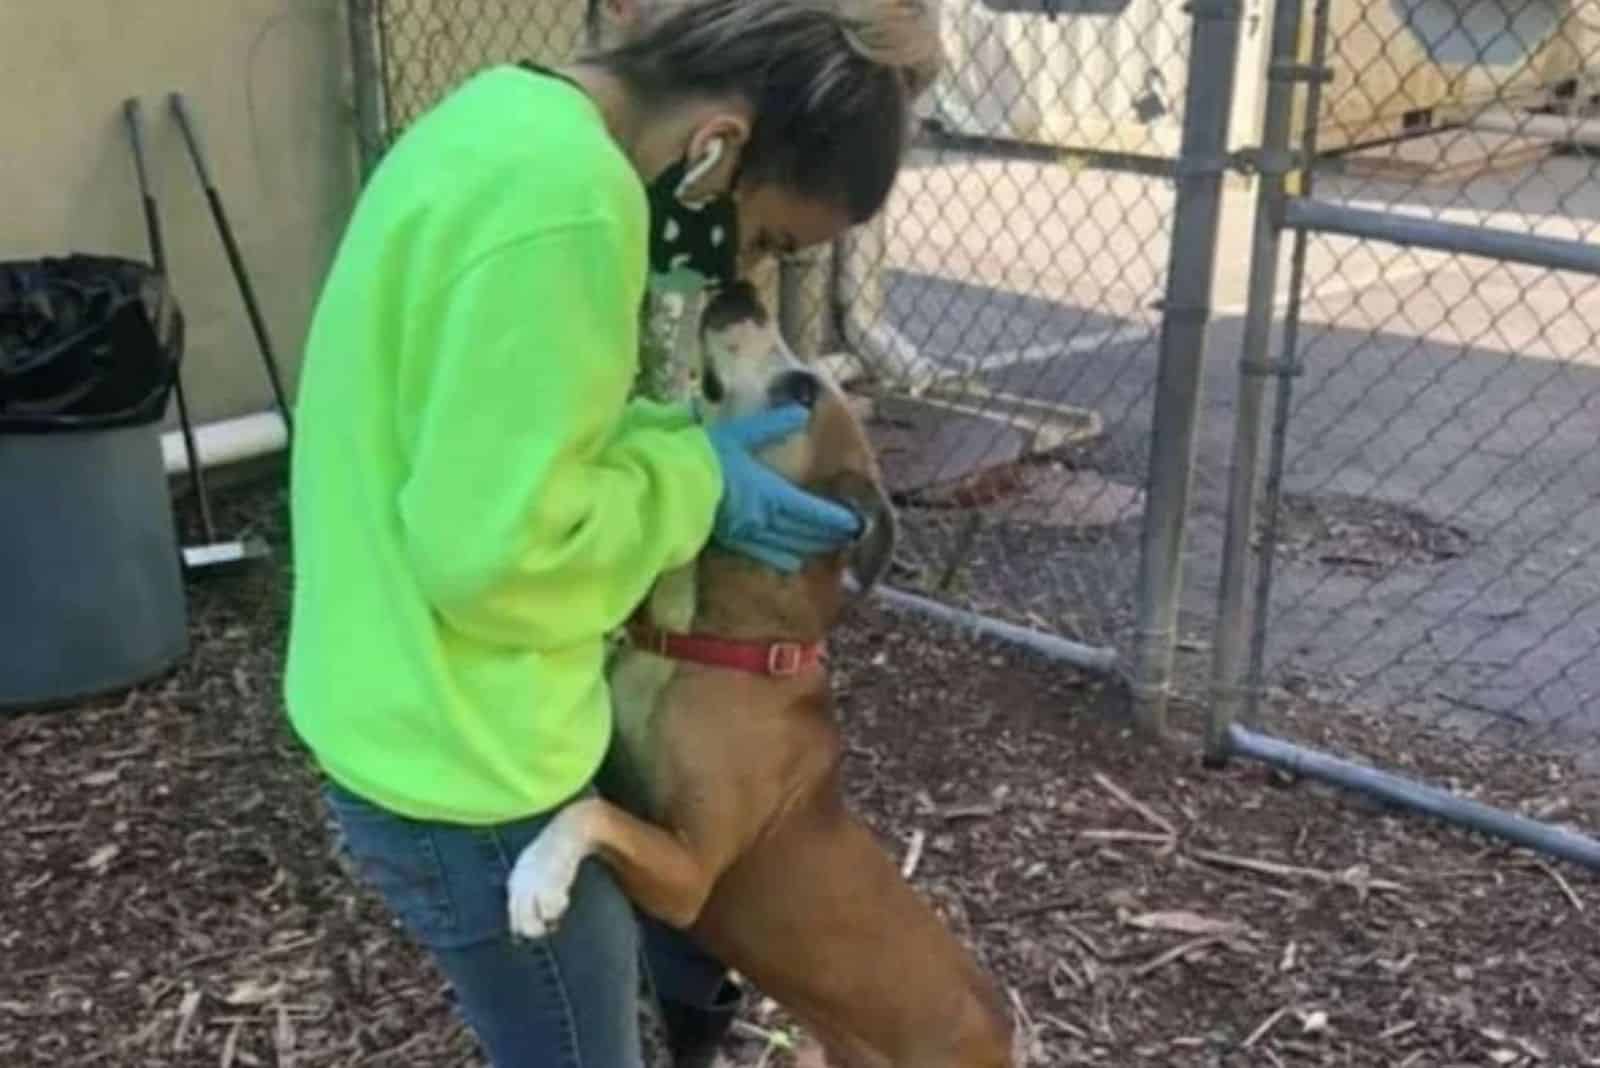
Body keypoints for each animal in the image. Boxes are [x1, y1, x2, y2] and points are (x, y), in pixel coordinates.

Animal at [505, 282, 1011, 1068]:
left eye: (801, 390)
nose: (741, 289)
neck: (706, 646)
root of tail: (1005, 1030)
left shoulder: (690, 873)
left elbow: (587, 813)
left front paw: (538, 878)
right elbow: (594, 795)